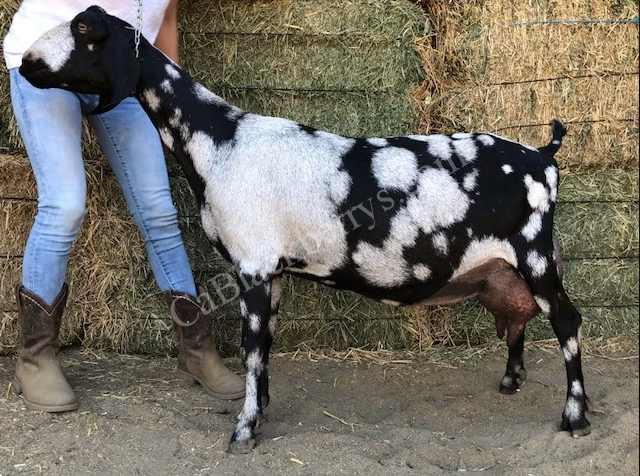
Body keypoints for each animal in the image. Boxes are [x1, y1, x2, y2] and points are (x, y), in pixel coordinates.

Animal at [20, 6, 594, 453]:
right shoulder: (270, 270)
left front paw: (243, 432)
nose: (25, 63)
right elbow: (264, 350)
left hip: (535, 253)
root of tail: (543, 157)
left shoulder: (252, 264)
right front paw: (262, 411)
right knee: (519, 315)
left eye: (85, 27)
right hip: (507, 267)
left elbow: (251, 348)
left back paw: (575, 417)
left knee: (567, 319)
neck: (220, 140)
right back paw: (511, 381)